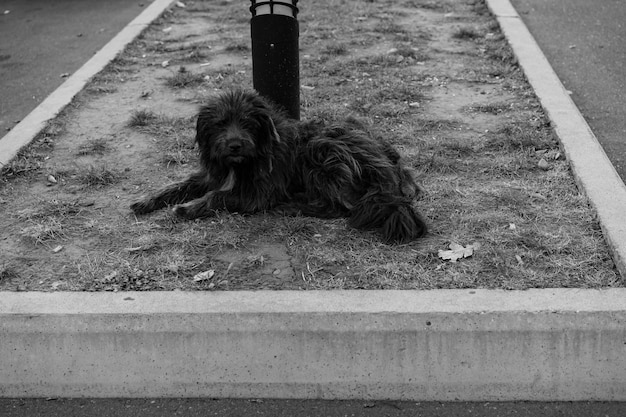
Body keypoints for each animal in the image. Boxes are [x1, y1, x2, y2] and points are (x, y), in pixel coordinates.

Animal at [130, 89, 426, 242]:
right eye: (220, 124)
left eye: (247, 123)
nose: (234, 145)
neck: (247, 159)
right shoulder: (213, 175)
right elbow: (179, 185)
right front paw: (147, 200)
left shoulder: (257, 192)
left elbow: (218, 196)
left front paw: (188, 208)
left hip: (322, 151)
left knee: (340, 207)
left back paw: (291, 207)